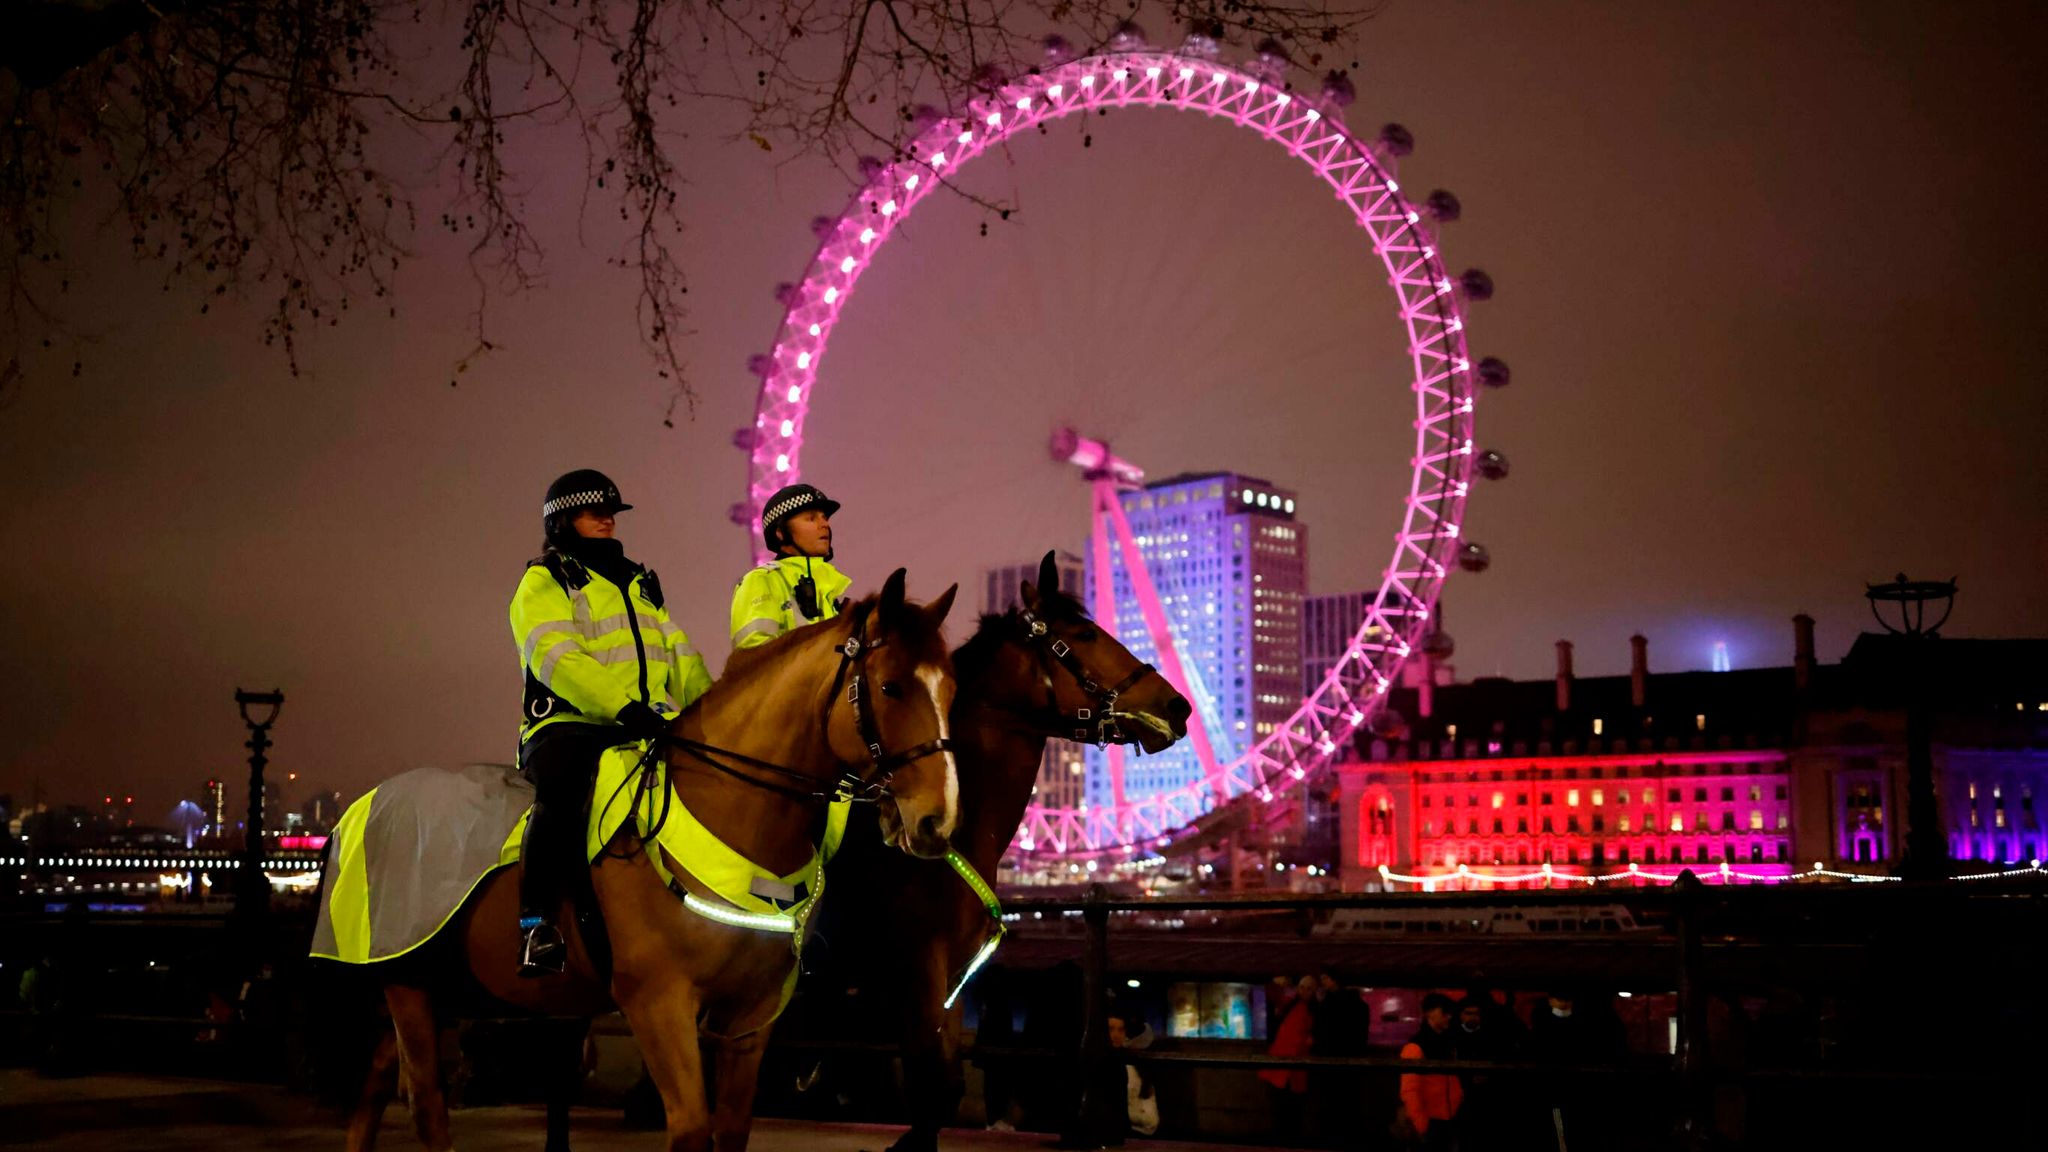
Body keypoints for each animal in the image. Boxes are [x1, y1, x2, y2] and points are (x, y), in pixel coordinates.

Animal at [339, 565, 962, 1147]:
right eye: (890, 688)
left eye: (950, 690)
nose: (937, 820)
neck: (729, 809)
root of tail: (365, 802)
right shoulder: (659, 1004)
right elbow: (689, 1129)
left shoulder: (751, 1015)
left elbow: (730, 1130)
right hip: (409, 987)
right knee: (426, 1108)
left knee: (375, 1085)